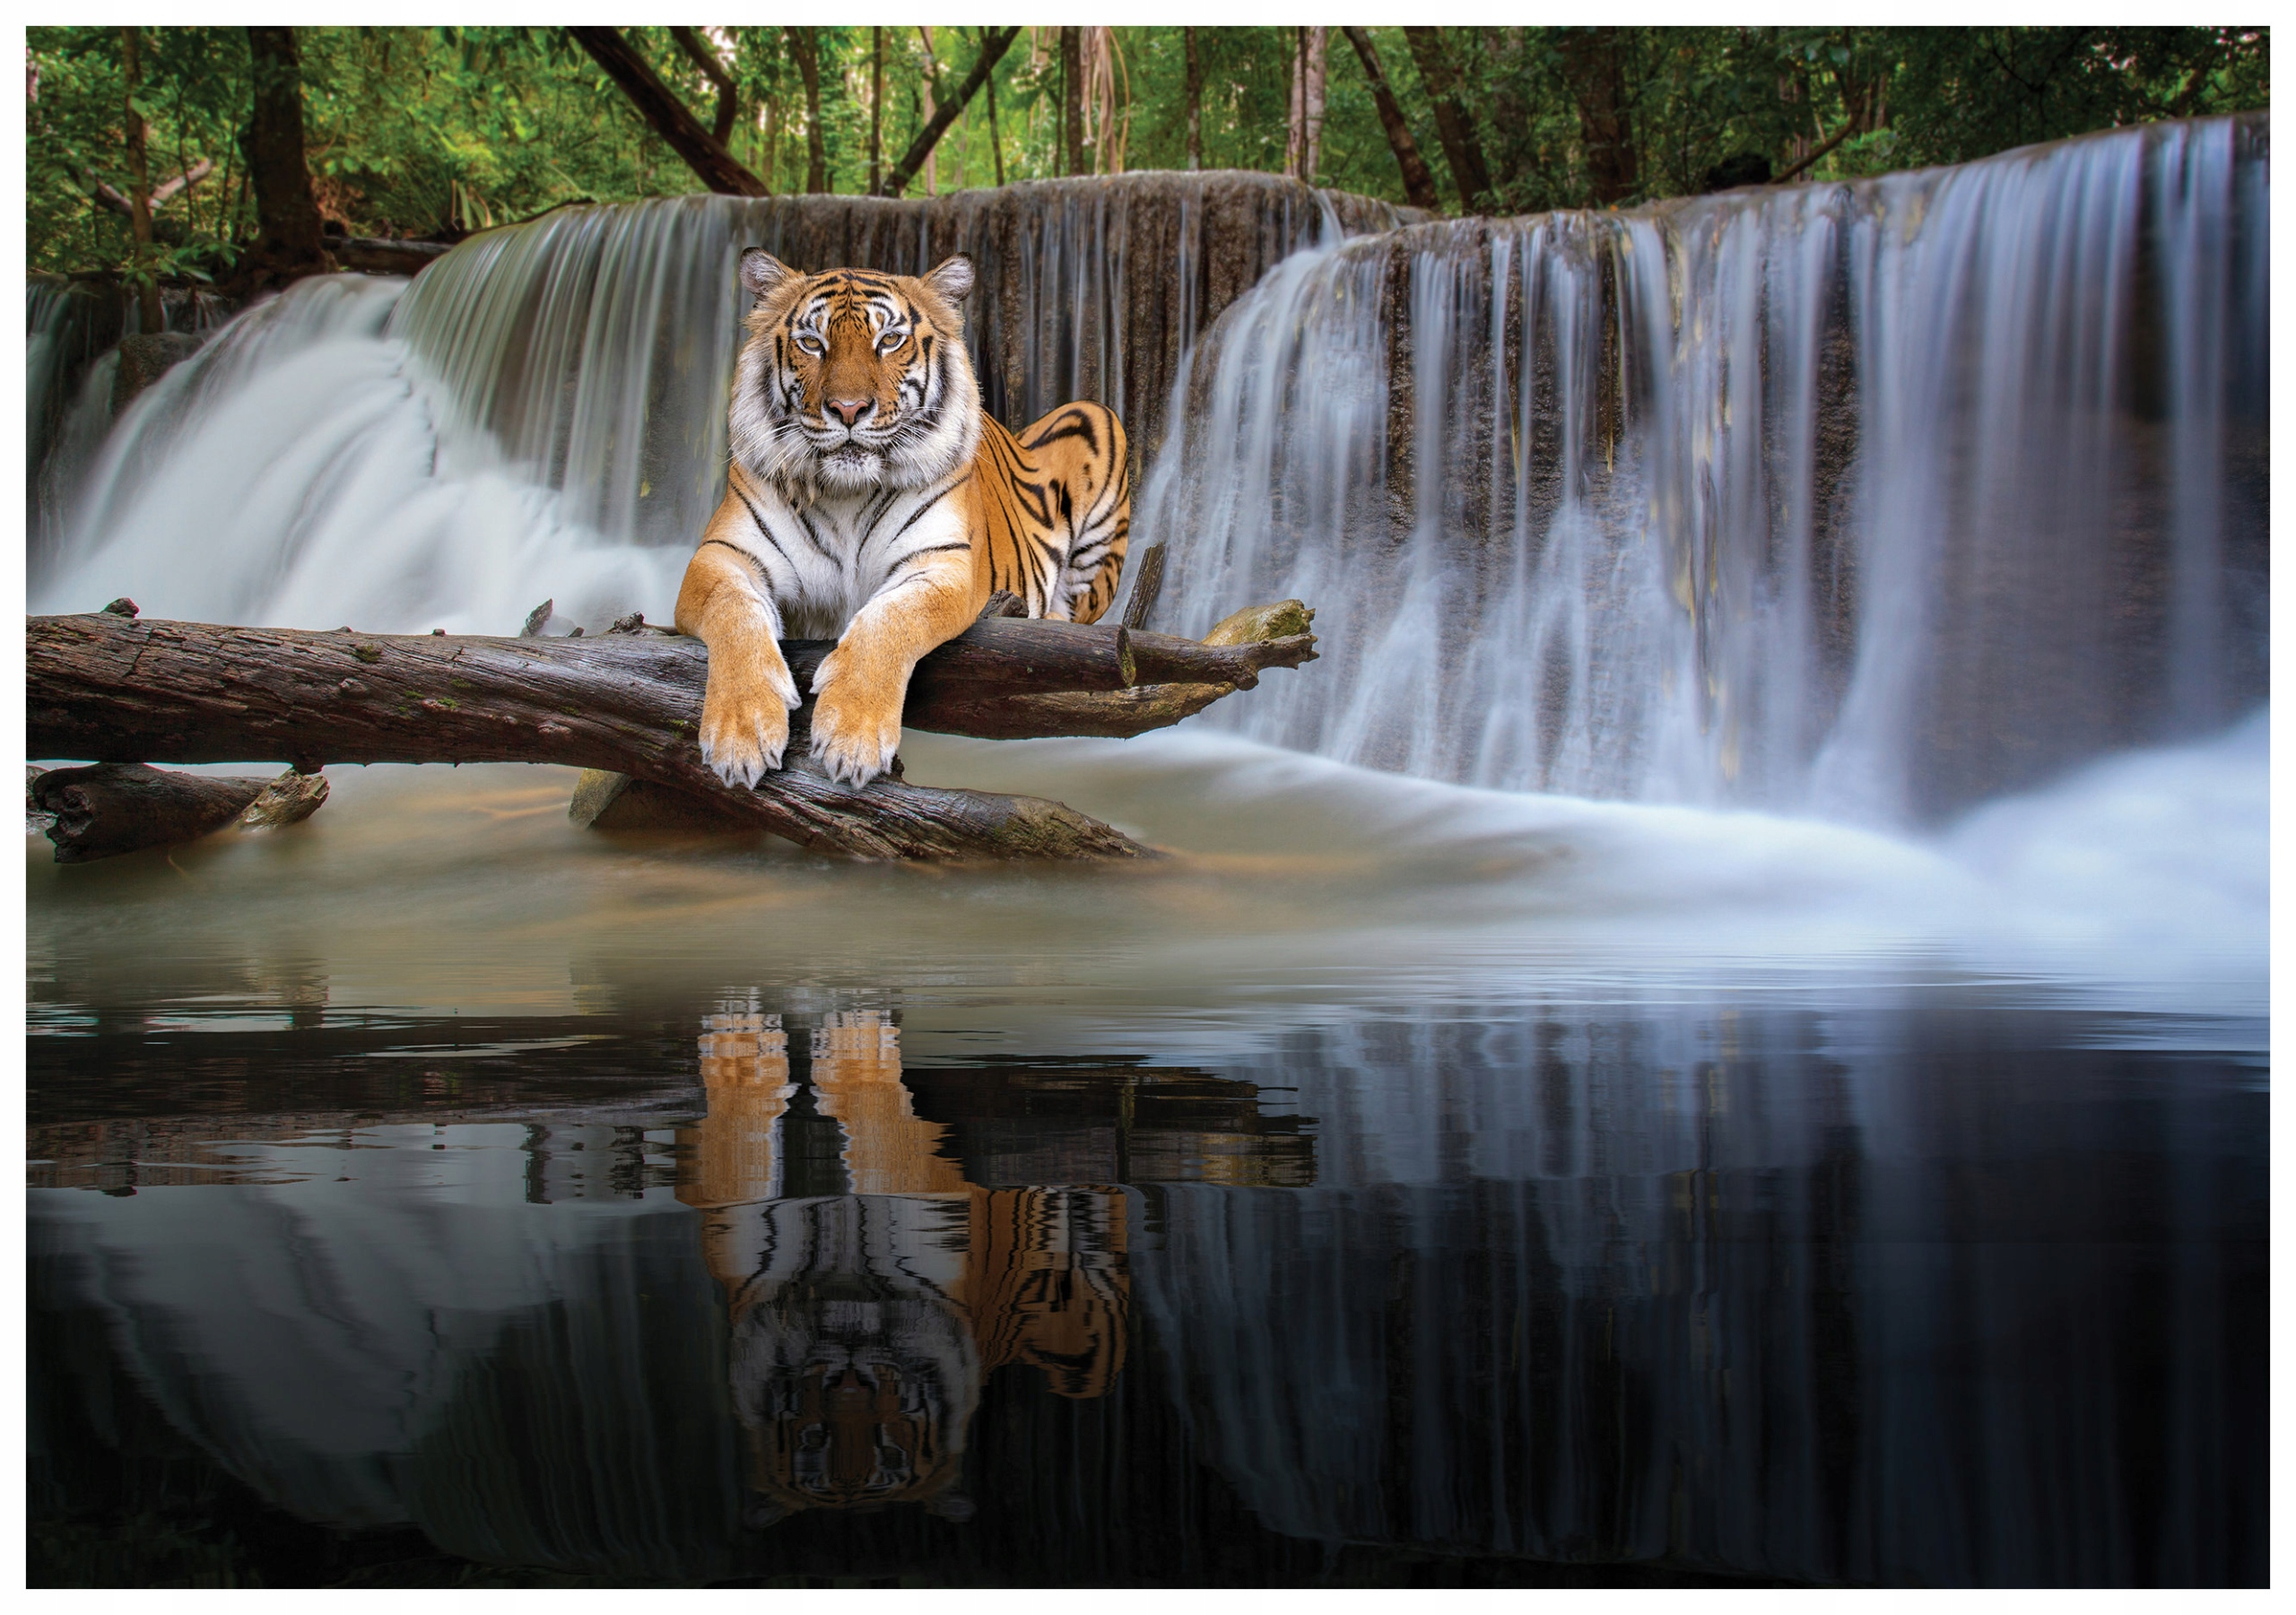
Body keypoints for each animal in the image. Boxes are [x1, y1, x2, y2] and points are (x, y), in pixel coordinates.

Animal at [675, 248, 1130, 791]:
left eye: (889, 340)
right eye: (812, 343)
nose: (848, 409)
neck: (845, 494)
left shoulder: (942, 565)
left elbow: (889, 619)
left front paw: (852, 734)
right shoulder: (722, 556)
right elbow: (734, 613)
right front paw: (740, 731)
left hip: (1096, 418)